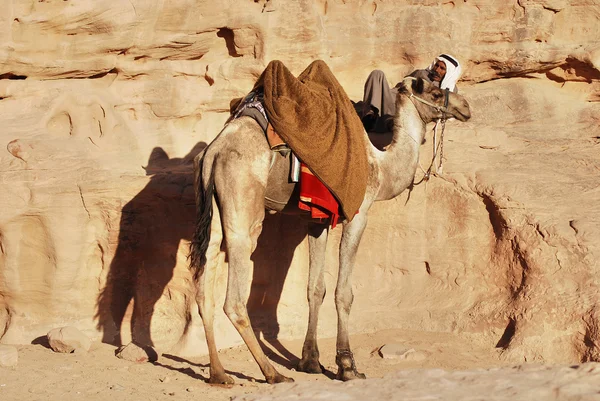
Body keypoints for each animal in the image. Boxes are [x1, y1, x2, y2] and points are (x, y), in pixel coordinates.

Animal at [190, 76, 472, 384]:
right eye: (435, 92)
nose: (466, 107)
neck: (380, 166)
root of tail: (214, 151)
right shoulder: (358, 214)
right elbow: (343, 293)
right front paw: (347, 366)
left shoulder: (317, 221)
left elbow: (315, 289)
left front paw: (310, 361)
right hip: (243, 195)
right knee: (235, 297)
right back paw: (273, 373)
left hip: (214, 208)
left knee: (204, 289)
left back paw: (219, 374)